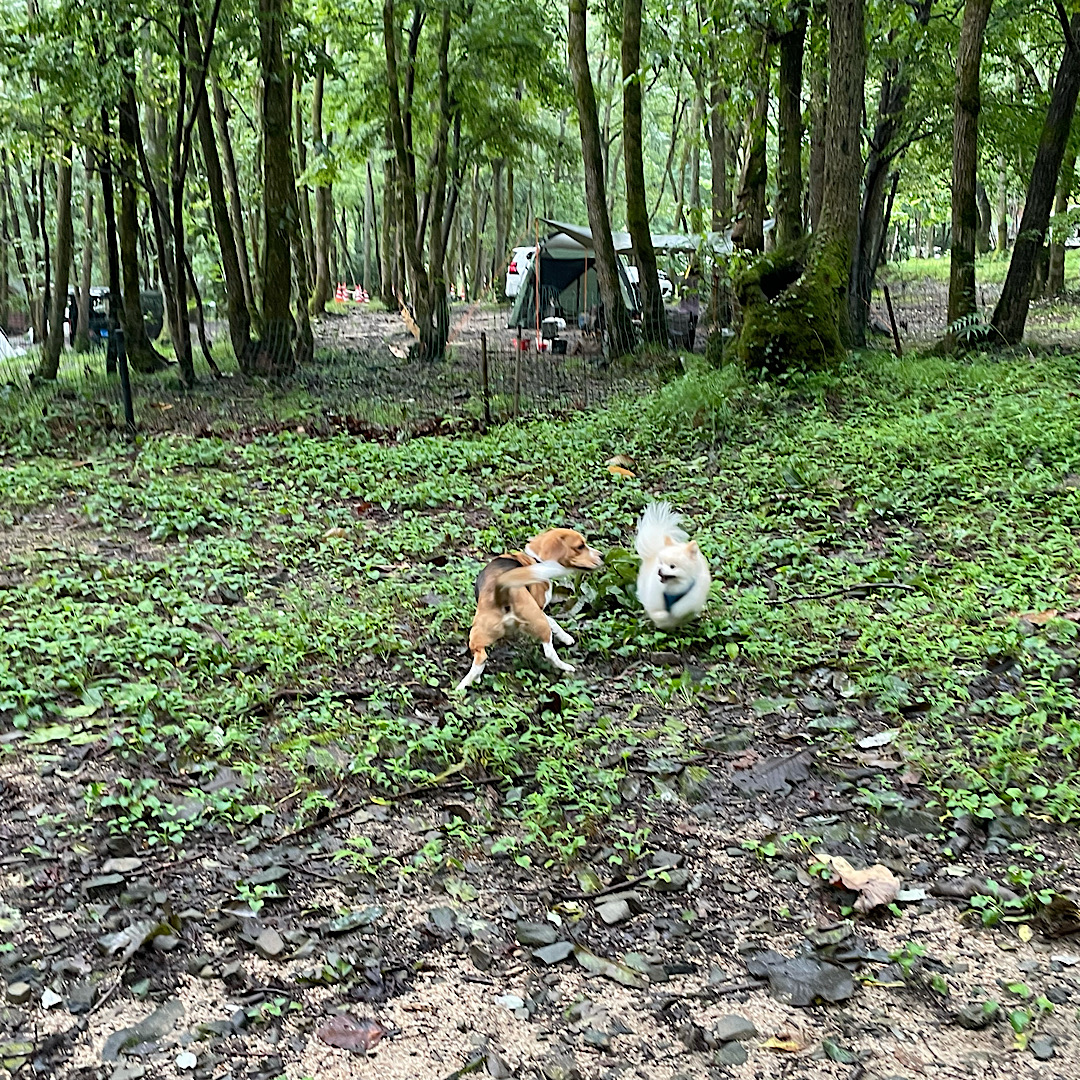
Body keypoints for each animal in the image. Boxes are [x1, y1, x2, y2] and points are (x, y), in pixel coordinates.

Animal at [455, 529, 604, 691]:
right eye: (580, 546)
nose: (602, 555)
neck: (535, 558)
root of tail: (501, 590)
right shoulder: (539, 606)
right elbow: (553, 621)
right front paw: (566, 637)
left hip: (479, 633)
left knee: (480, 657)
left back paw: (465, 684)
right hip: (538, 621)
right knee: (549, 651)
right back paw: (566, 667)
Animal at [630, 501, 708, 630]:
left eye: (672, 566)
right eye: (660, 563)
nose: (659, 571)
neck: (673, 588)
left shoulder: (694, 594)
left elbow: (683, 607)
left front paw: (676, 612)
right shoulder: (655, 594)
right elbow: (657, 611)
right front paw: (662, 616)